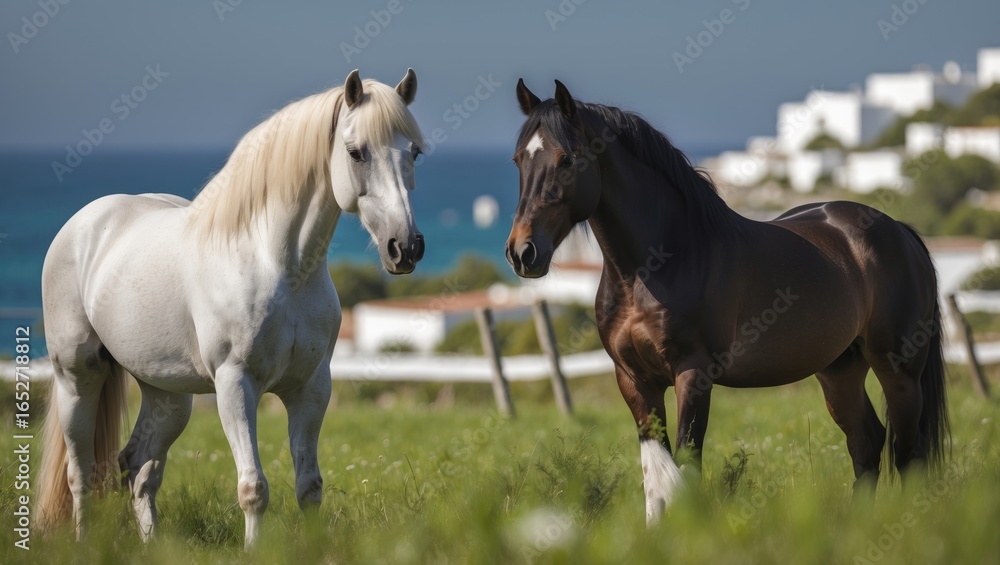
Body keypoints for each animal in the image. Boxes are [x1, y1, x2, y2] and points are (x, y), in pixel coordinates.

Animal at [36, 69, 426, 548]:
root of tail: (84, 224)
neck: (277, 265)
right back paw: (84, 544)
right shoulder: (235, 385)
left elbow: (309, 486)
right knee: (82, 473)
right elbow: (253, 488)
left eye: (414, 152)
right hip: (77, 377)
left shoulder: (311, 387)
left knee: (138, 467)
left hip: (167, 395)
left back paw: (151, 544)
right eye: (356, 152)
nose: (405, 247)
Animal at [506, 79, 949, 525]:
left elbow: (685, 465)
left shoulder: (693, 374)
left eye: (566, 159)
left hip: (899, 371)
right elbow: (655, 476)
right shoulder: (634, 379)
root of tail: (900, 231)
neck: (656, 264)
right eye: (517, 160)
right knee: (867, 444)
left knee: (907, 454)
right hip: (840, 370)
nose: (522, 252)